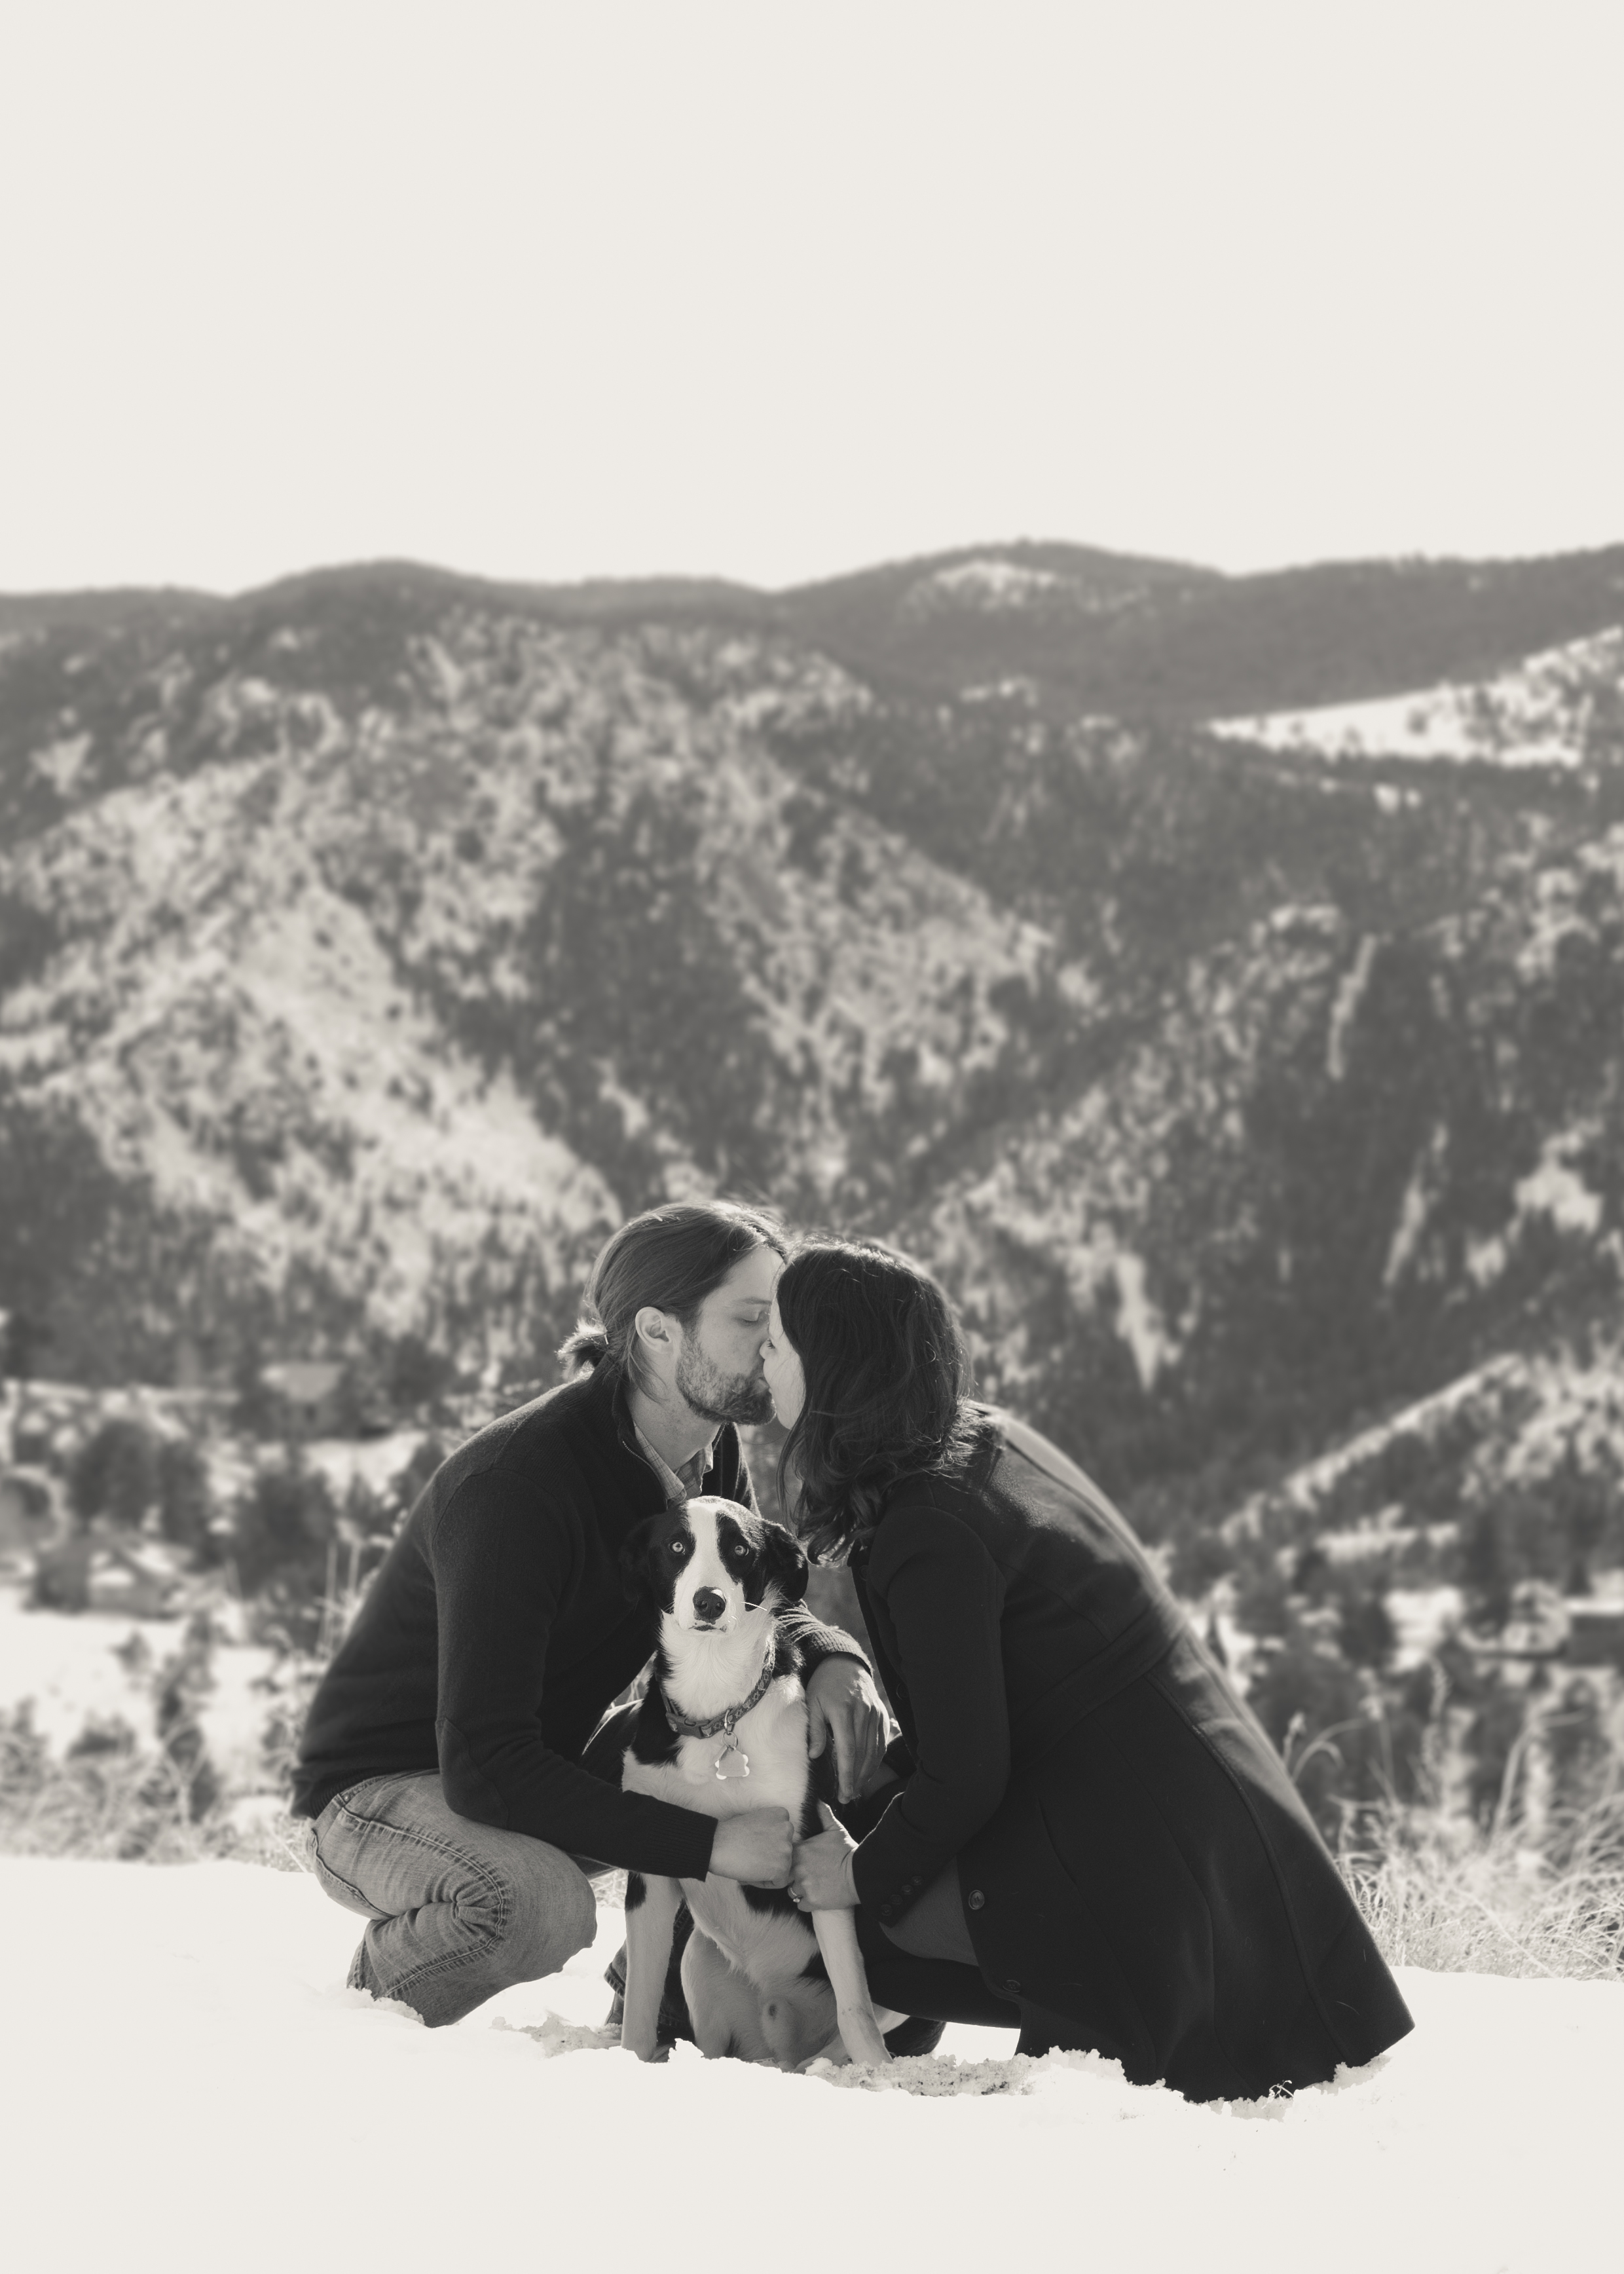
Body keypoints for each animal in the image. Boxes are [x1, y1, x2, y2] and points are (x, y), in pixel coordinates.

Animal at [616, 1494, 900, 2068]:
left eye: (740, 1550)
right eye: (676, 1547)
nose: (709, 1602)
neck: (718, 1708)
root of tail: (777, 2050)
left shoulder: (817, 1853)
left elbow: (855, 2009)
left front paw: (879, 2075)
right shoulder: (650, 1872)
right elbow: (639, 2004)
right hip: (699, 1960)